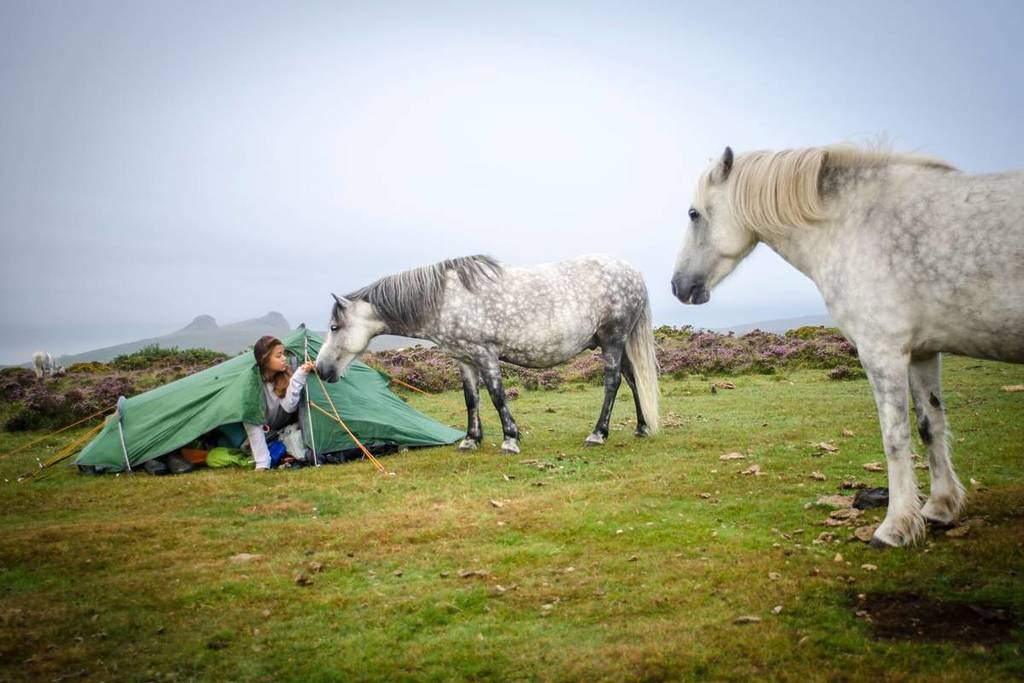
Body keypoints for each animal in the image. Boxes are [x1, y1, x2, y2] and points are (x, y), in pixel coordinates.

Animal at [315, 254, 660, 454]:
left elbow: (496, 395)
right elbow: (472, 398)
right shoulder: (464, 359)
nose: (321, 369)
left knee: (613, 382)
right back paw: (642, 427)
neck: (445, 299)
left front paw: (510, 439)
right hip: (613, 343)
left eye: (334, 326)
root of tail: (634, 273)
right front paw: (471, 439)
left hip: (612, 340)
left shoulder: (485, 355)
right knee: (633, 380)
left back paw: (598, 434)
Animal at [671, 144, 1024, 548]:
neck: (852, 224)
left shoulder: (882, 351)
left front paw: (895, 527)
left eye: (693, 214)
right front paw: (940, 507)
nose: (677, 285)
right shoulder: (921, 353)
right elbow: (930, 425)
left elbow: (895, 437)